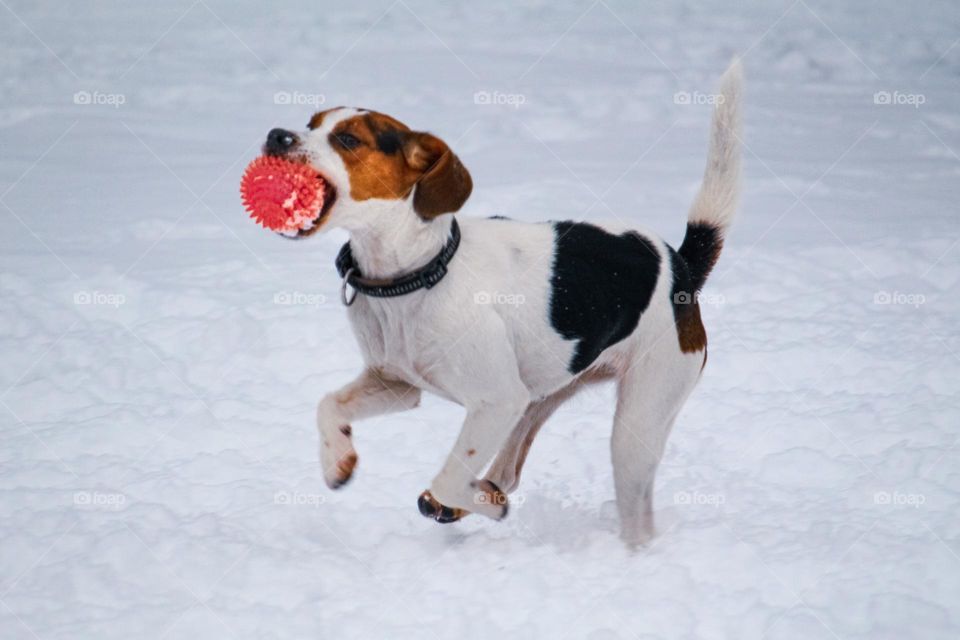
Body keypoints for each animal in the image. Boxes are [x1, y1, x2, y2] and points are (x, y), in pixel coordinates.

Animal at [266, 58, 748, 544]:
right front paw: (337, 459)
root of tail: (680, 264)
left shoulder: (494, 402)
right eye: (311, 123)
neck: (421, 274)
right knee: (509, 471)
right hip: (538, 398)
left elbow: (449, 476)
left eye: (348, 139)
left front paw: (485, 506)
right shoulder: (397, 384)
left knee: (636, 517)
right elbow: (328, 404)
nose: (276, 135)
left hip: (634, 425)